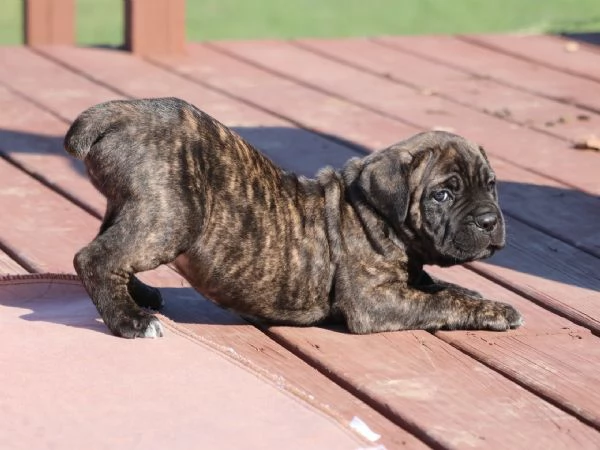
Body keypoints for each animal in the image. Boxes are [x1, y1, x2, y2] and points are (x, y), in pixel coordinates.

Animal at [65, 96, 524, 340]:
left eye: (492, 185)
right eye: (442, 195)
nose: (489, 221)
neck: (378, 217)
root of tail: (120, 112)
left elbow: (445, 286)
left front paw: (482, 297)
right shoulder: (376, 303)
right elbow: (440, 300)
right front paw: (496, 312)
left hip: (135, 208)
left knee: (114, 247)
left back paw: (139, 295)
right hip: (172, 219)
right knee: (95, 258)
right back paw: (131, 321)